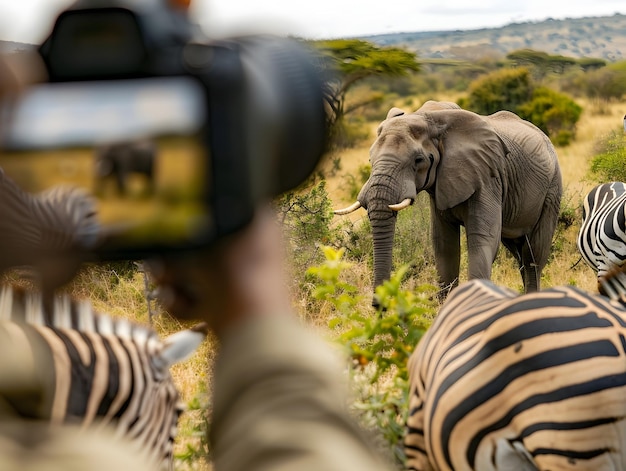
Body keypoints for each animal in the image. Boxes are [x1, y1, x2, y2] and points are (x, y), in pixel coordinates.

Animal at [334, 101, 564, 304]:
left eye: (418, 160)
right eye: (370, 159)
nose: (378, 307)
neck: (430, 117)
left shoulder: (487, 178)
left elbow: (483, 240)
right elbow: (444, 245)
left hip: (552, 189)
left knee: (533, 256)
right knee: (520, 254)